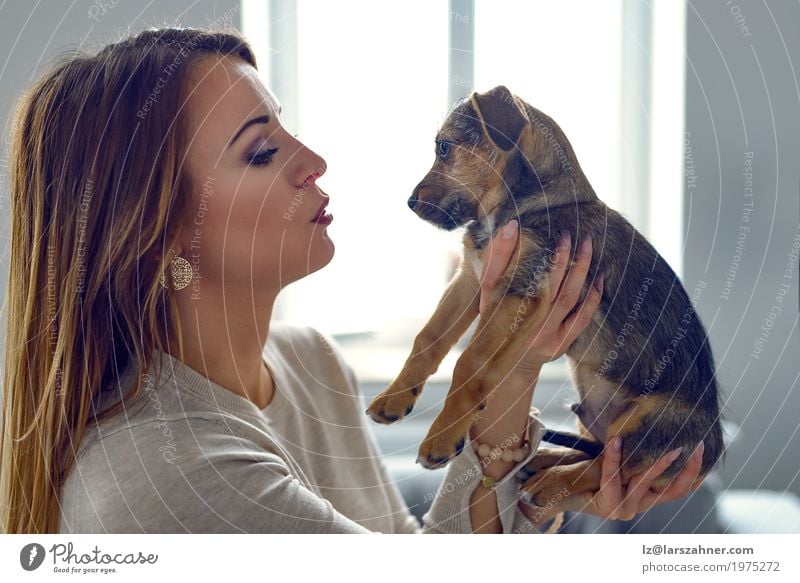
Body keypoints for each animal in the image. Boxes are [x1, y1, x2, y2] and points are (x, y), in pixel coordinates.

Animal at [364, 84, 724, 508]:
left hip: (652, 421)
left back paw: (551, 482)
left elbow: (470, 362)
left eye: (443, 148)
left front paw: (441, 436)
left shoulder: (518, 289)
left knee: (609, 468)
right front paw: (394, 398)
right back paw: (542, 461)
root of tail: (711, 457)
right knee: (600, 455)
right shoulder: (471, 279)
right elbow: (428, 338)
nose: (410, 203)